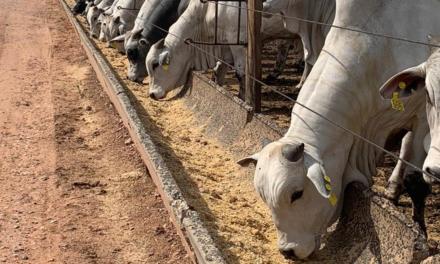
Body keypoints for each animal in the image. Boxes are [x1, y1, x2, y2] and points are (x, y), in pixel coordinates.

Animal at [241, 0, 440, 258]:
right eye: (264, 197)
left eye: (297, 194)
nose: (288, 251)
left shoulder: (422, 117)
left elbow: (415, 179)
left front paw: (421, 234)